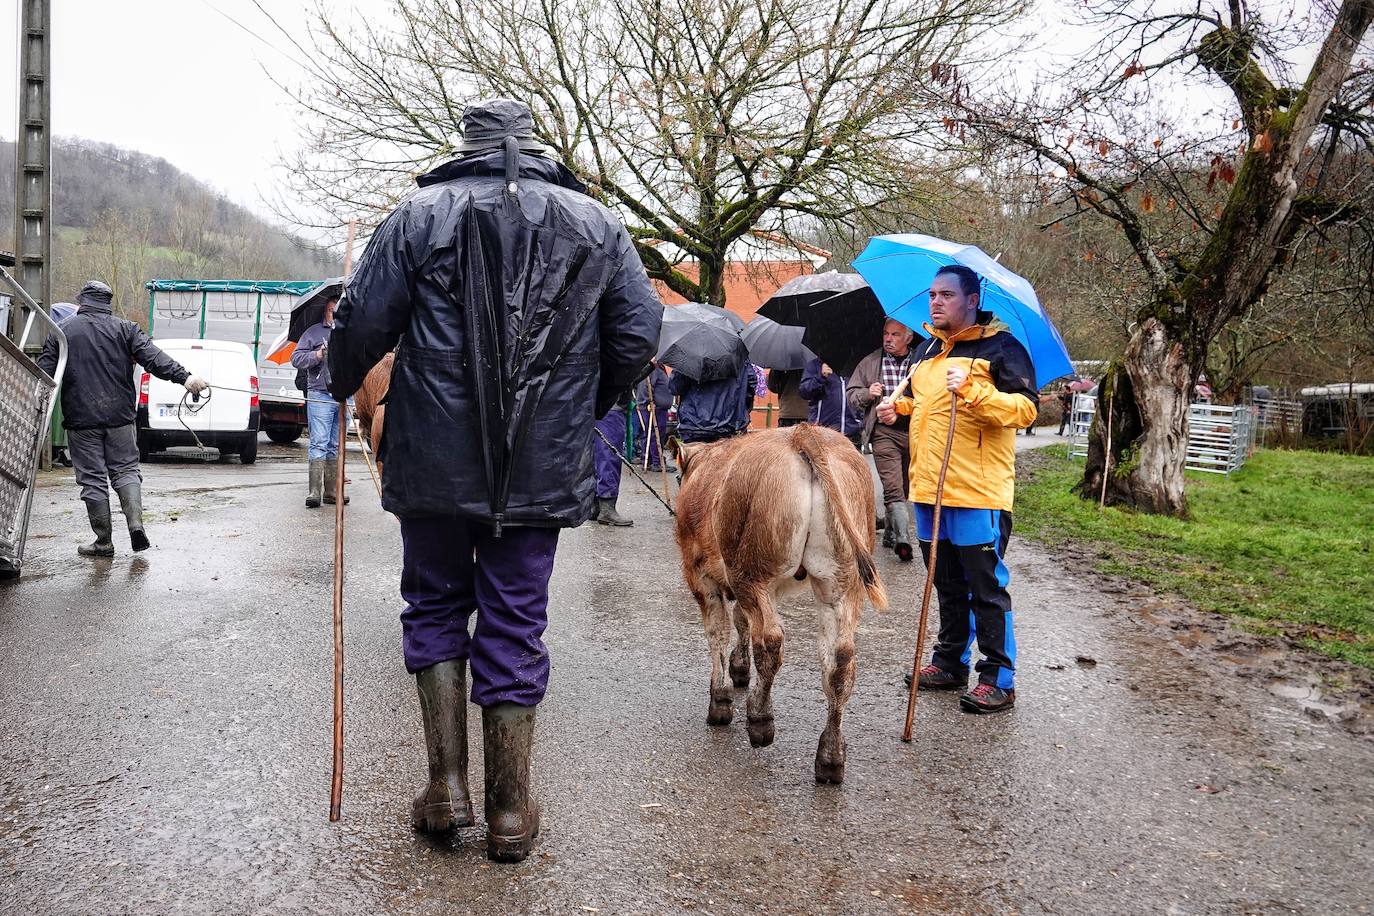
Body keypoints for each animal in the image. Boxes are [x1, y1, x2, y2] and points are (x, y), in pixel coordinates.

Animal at [670, 425, 884, 785]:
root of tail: (803, 434)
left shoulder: (701, 577)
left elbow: (718, 632)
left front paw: (721, 696)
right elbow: (741, 622)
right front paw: (740, 669)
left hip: (751, 572)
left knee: (771, 640)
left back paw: (760, 718)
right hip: (839, 581)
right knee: (840, 659)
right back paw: (830, 756)